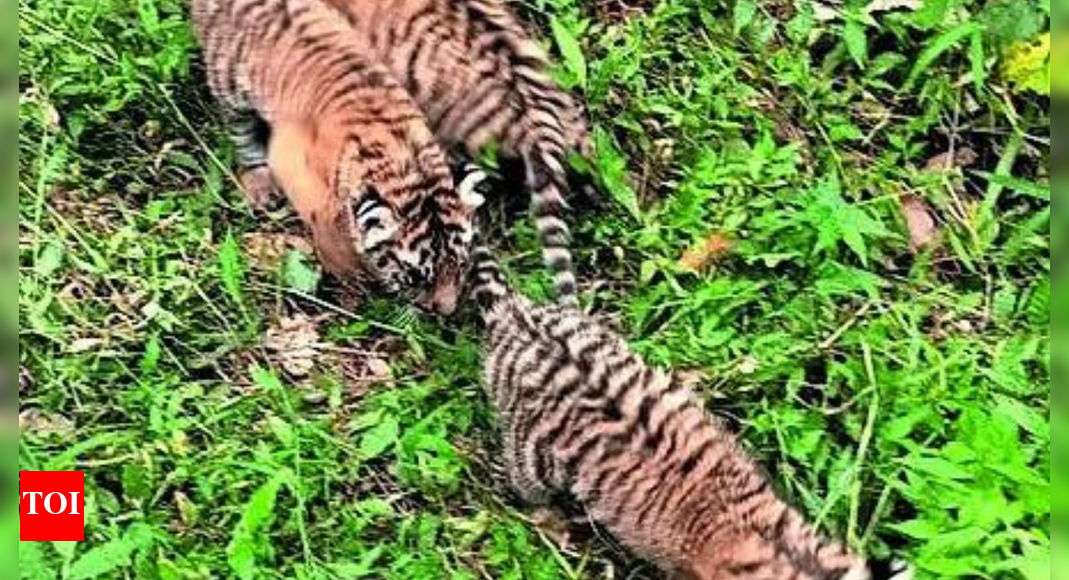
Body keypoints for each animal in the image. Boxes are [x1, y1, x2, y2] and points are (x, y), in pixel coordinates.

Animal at [191, 0, 485, 314]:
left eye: (460, 263)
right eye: (416, 277)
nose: (447, 311)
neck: (408, 158)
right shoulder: (293, 163)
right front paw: (352, 276)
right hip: (228, 79)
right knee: (240, 128)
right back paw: (260, 184)